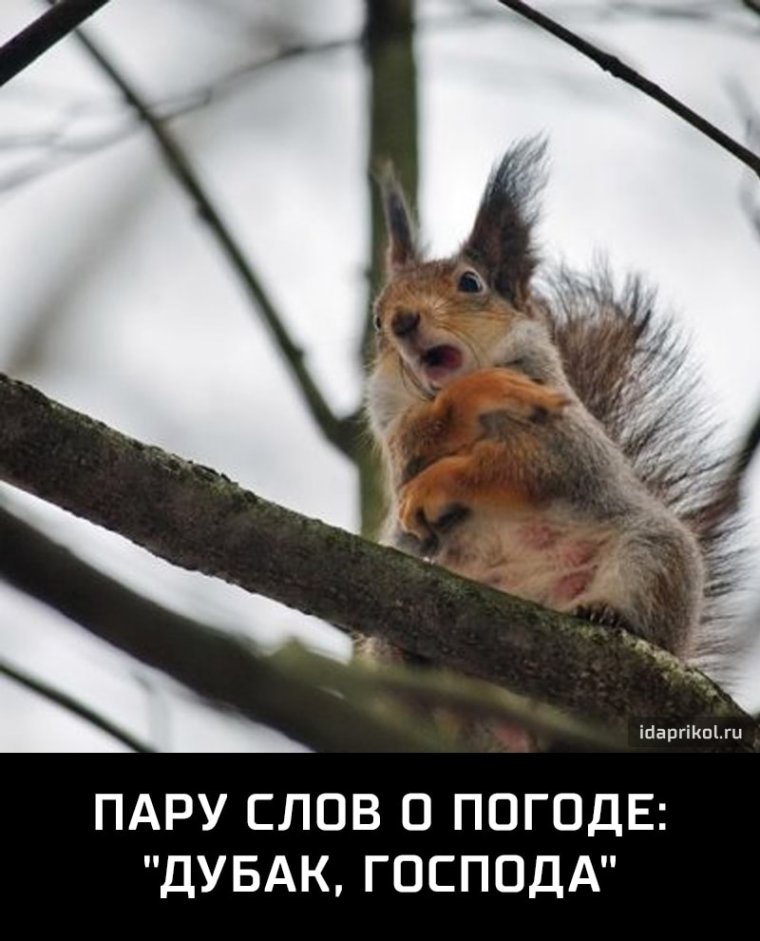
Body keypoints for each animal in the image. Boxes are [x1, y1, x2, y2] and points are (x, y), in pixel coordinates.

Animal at [361, 137, 740, 738]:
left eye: (470, 283)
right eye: (376, 318)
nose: (401, 321)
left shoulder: (565, 439)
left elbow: (517, 467)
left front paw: (443, 480)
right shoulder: (395, 442)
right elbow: (412, 456)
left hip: (656, 559)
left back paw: (609, 615)